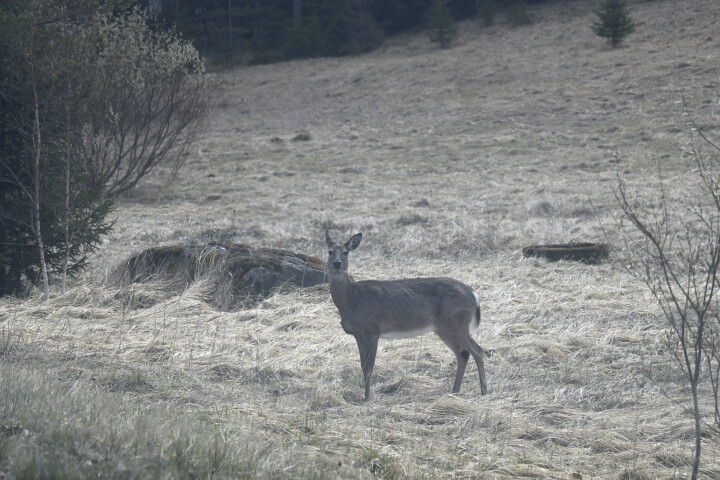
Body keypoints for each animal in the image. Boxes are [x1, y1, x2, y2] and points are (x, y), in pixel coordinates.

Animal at [326, 231, 490, 400]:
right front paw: (365, 397)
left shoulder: (373, 330)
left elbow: (369, 367)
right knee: (462, 354)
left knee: (478, 351)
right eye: (330, 251)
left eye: (346, 252)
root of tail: (474, 295)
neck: (353, 300)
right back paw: (455, 391)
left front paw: (367, 398)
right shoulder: (358, 334)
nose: (337, 263)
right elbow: (362, 366)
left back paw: (484, 391)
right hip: (444, 328)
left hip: (456, 324)